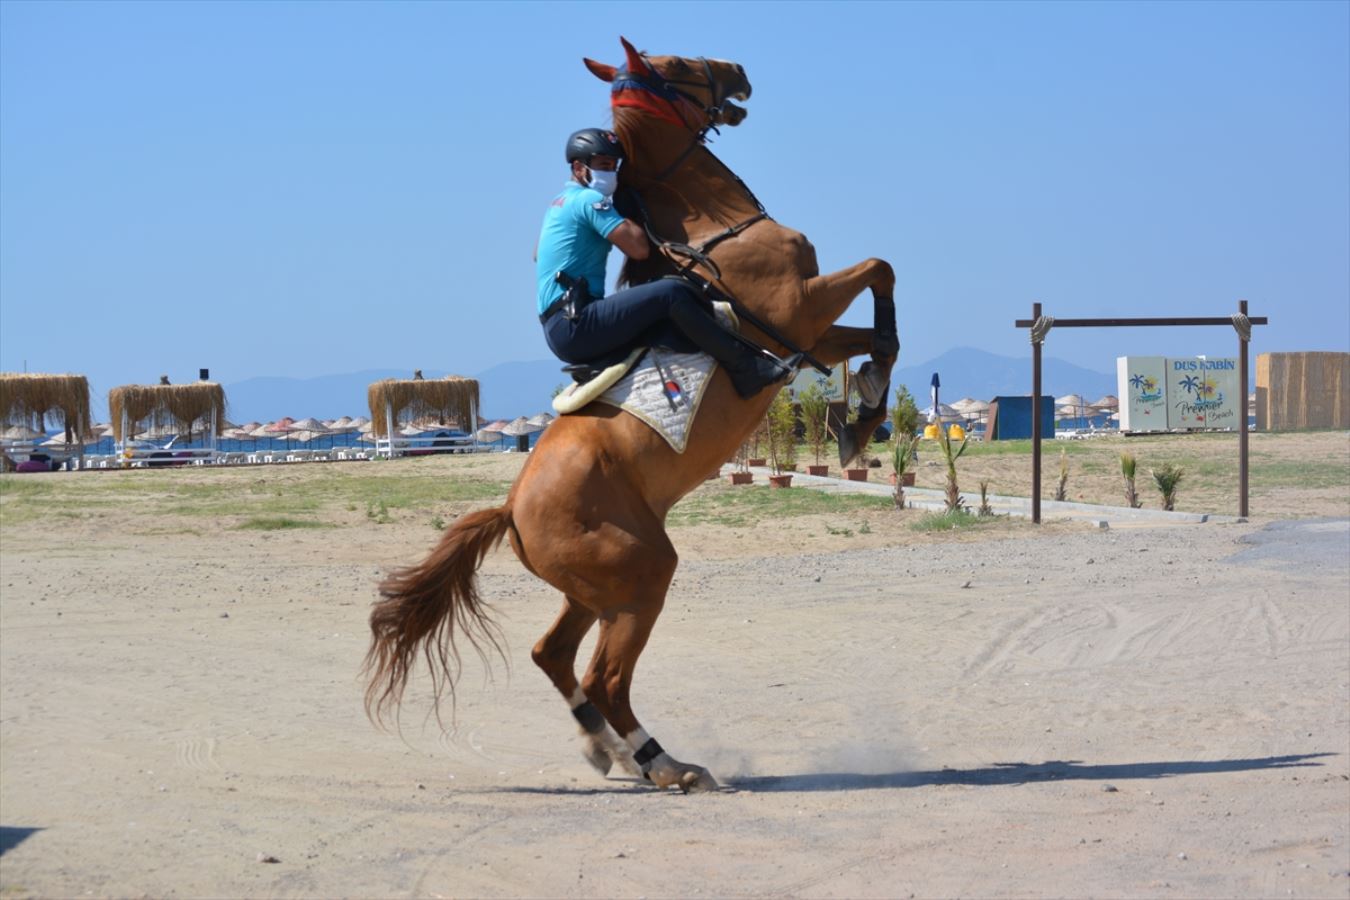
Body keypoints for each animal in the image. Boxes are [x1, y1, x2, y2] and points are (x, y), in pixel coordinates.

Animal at [364, 38, 901, 793]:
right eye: (675, 62)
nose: (739, 72)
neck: (712, 230)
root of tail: (510, 508)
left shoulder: (813, 333)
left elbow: (879, 335)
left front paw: (862, 414)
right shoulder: (800, 310)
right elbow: (882, 270)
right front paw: (862, 412)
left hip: (596, 591)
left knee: (554, 655)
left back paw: (612, 751)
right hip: (642, 574)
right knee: (604, 677)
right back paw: (666, 765)